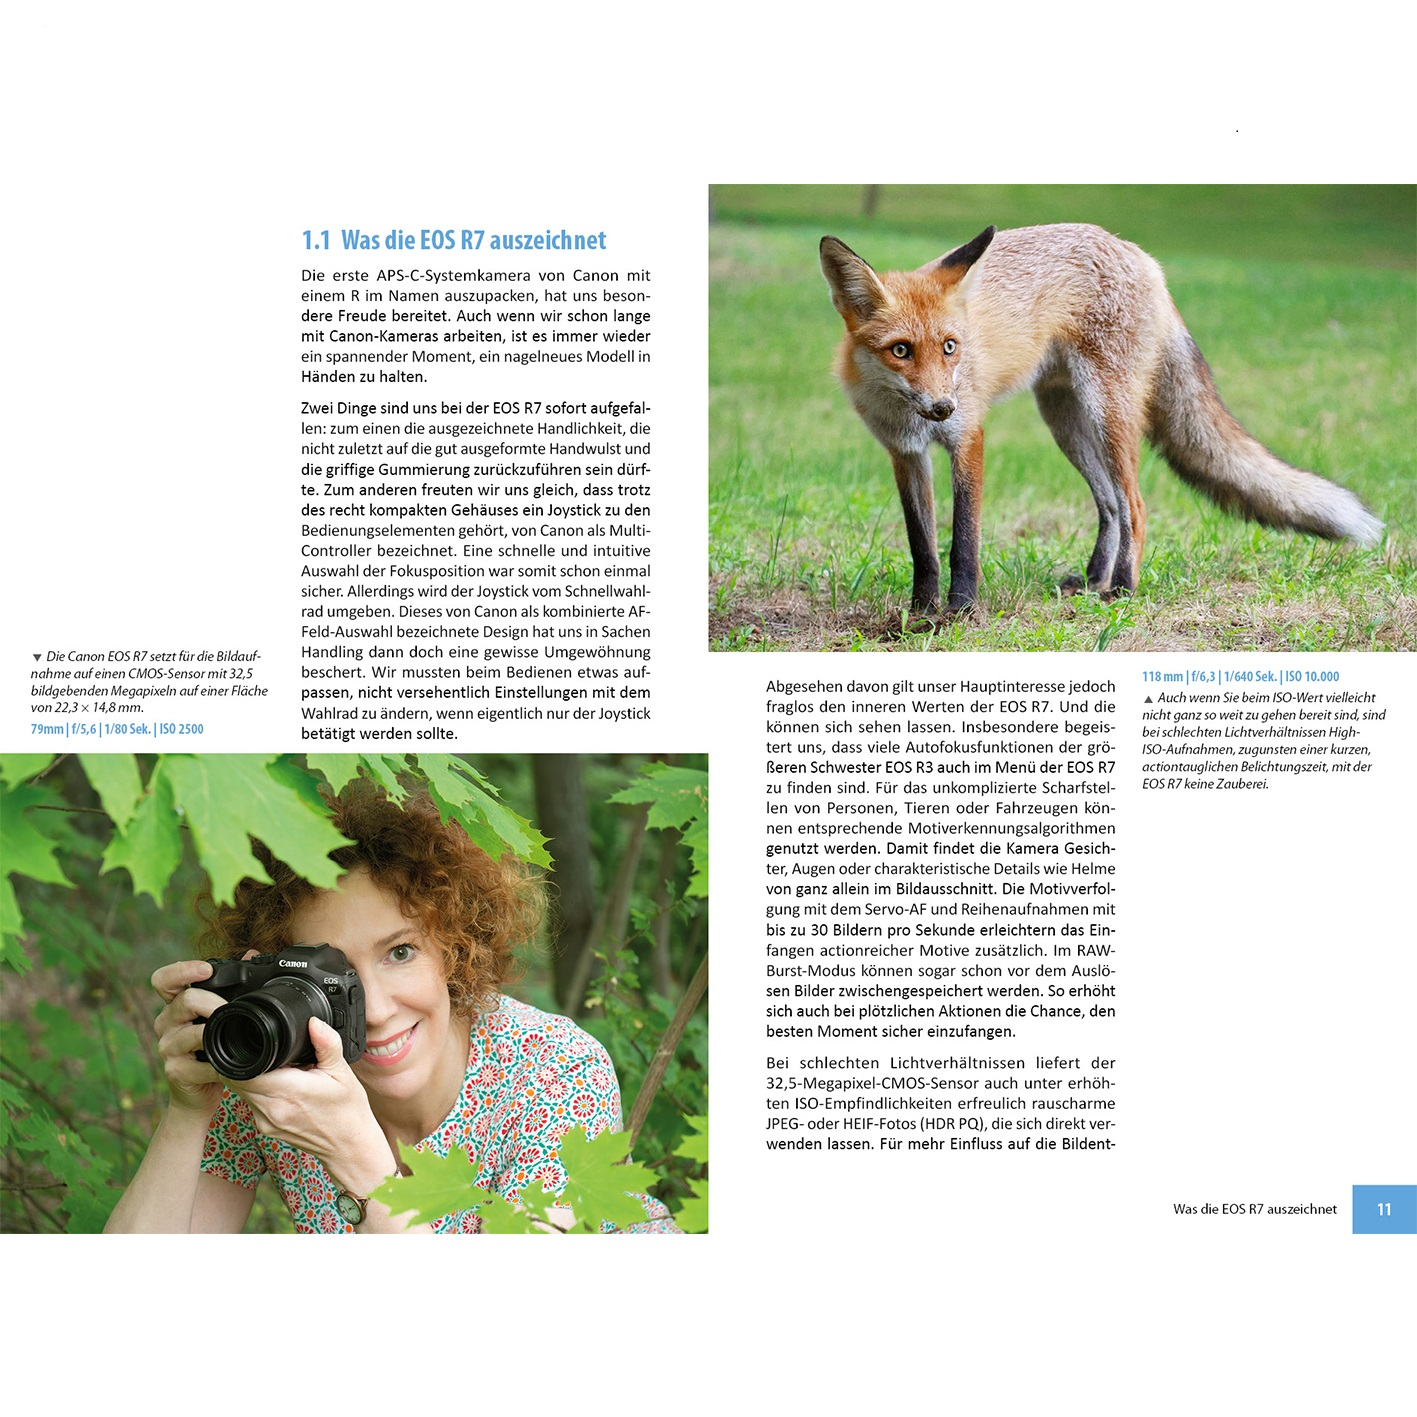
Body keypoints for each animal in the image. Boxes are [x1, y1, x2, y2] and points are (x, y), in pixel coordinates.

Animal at [820, 224, 1383, 615]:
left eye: (950, 347)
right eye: (901, 350)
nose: (943, 407)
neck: (909, 415)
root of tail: (1139, 254)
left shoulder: (968, 439)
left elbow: (963, 541)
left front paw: (959, 610)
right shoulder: (905, 454)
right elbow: (922, 545)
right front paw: (919, 613)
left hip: (1107, 411)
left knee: (1135, 505)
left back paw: (1124, 591)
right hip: (1066, 420)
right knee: (1110, 505)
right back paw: (1094, 583)